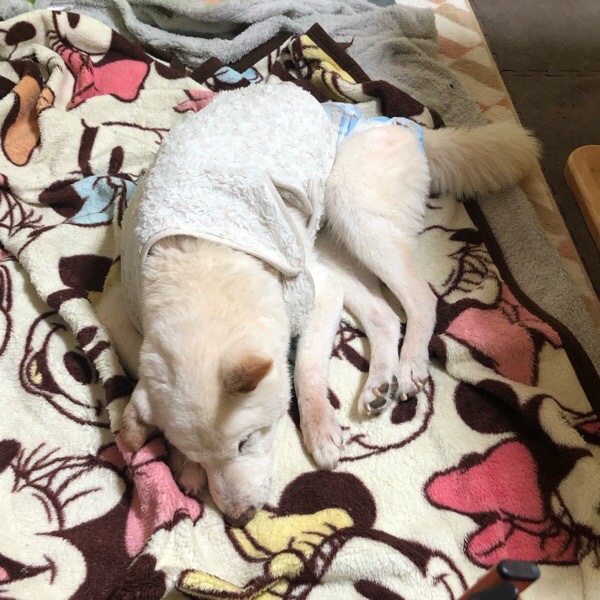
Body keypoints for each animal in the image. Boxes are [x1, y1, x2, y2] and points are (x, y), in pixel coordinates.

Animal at [97, 87, 539, 526]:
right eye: (202, 456)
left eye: (247, 441)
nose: (240, 519)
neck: (200, 268)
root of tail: (401, 125)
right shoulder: (119, 309)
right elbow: (141, 369)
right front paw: (180, 461)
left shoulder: (317, 291)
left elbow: (306, 368)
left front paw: (320, 429)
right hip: (331, 245)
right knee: (384, 315)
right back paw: (379, 384)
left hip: (350, 204)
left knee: (421, 299)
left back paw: (411, 363)